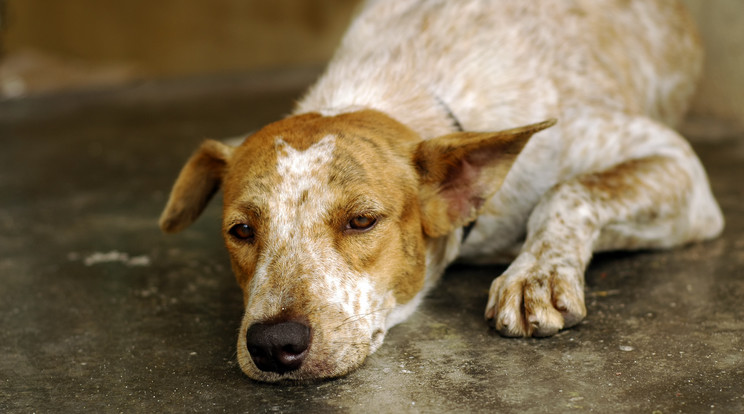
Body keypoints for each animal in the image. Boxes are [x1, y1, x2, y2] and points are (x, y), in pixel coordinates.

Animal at [157, 0, 720, 382]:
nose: (274, 344)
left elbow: (568, 191)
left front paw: (536, 275)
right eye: (241, 230)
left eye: (361, 221)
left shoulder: (678, 168)